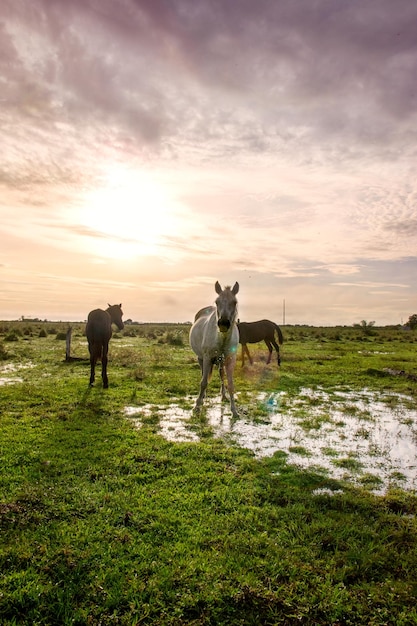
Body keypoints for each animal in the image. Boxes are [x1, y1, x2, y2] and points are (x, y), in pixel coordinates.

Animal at [189, 280, 239, 416]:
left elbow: (230, 384)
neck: (222, 339)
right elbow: (204, 382)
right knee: (204, 375)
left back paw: (223, 395)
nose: (223, 324)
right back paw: (202, 397)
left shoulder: (230, 360)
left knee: (221, 374)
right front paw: (197, 406)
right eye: (217, 302)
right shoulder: (207, 358)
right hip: (201, 358)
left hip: (220, 361)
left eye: (234, 302)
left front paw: (234, 410)